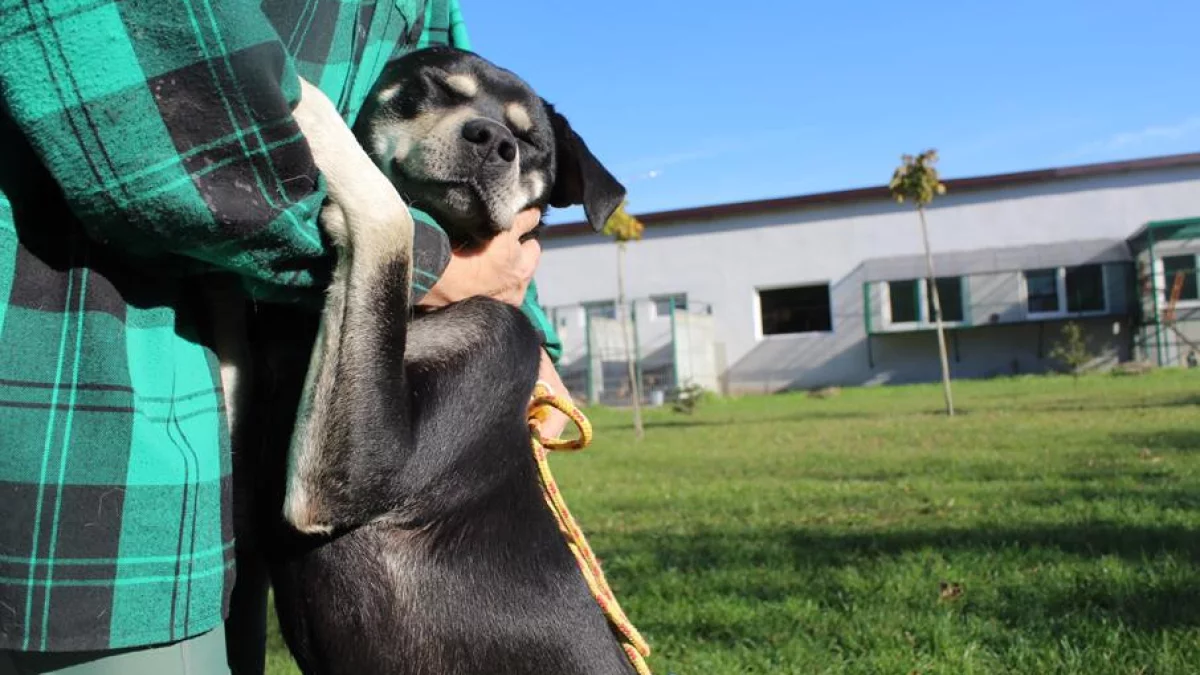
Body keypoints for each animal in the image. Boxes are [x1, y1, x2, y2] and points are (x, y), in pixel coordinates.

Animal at [238, 48, 643, 672]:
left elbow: (393, 220)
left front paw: (310, 103)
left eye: (531, 142)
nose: (493, 140)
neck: (425, 313)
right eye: (438, 88)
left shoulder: (354, 477)